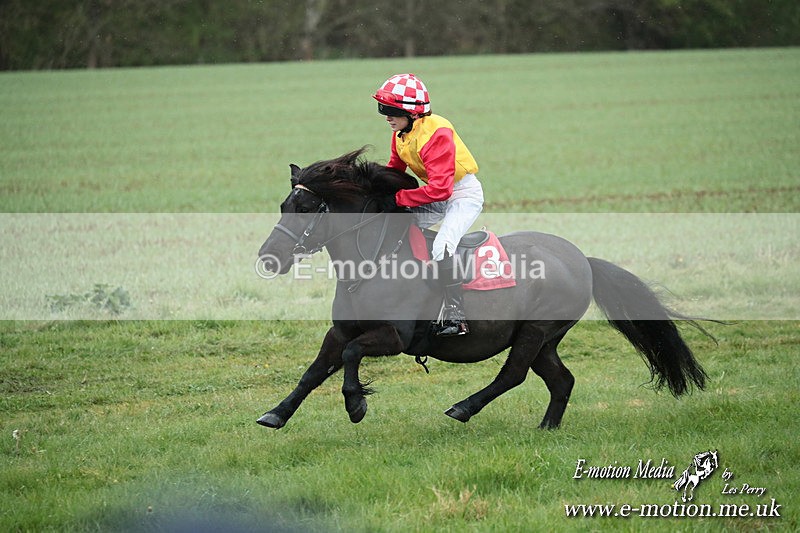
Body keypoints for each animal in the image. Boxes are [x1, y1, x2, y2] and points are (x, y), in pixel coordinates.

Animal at [256, 148, 708, 430]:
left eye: (307, 208)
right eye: (283, 206)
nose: (268, 257)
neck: (374, 259)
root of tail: (582, 260)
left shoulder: (393, 336)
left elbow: (350, 356)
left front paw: (355, 403)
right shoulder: (341, 331)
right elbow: (314, 371)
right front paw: (276, 414)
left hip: (535, 331)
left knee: (512, 374)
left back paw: (463, 408)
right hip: (545, 340)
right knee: (561, 380)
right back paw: (546, 428)